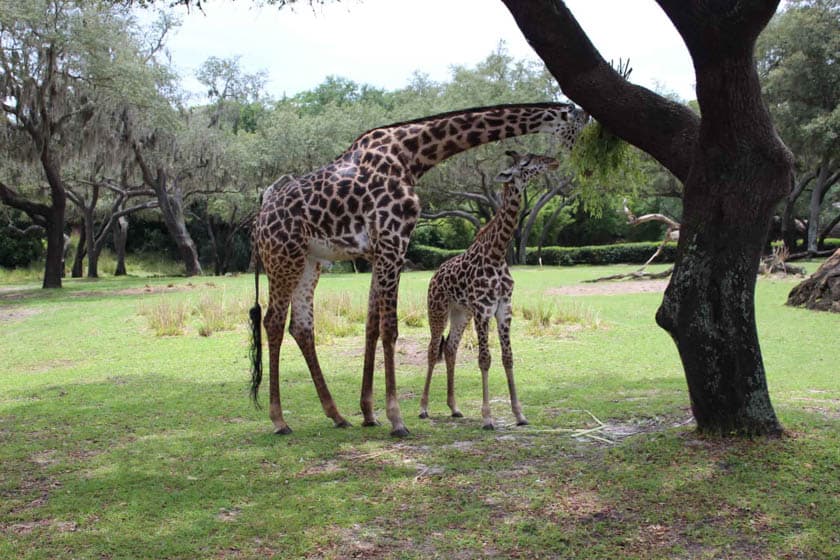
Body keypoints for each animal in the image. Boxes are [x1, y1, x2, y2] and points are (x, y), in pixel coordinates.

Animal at [418, 150, 556, 428]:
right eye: (526, 162)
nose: (552, 161)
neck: (497, 252)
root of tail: (434, 276)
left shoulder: (504, 308)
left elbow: (507, 357)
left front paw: (519, 414)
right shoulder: (483, 310)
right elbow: (484, 359)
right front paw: (487, 417)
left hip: (461, 313)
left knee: (450, 348)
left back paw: (454, 407)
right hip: (437, 310)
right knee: (432, 349)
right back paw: (424, 408)